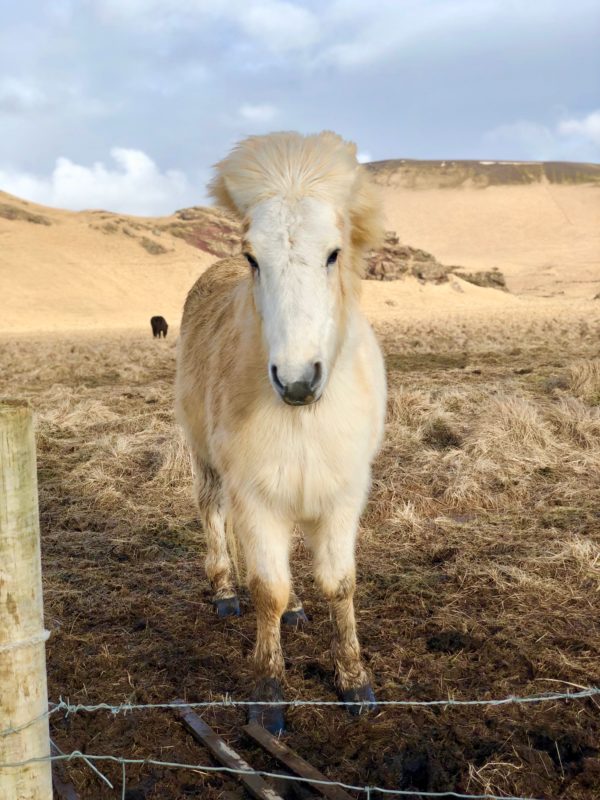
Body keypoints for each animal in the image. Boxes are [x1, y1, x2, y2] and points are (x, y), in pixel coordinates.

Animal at [176, 130, 386, 732]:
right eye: (253, 258)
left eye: (333, 253)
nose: (296, 379)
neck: (302, 417)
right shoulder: (255, 493)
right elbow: (267, 588)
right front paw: (268, 691)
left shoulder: (339, 494)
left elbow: (338, 584)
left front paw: (353, 680)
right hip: (207, 460)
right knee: (213, 514)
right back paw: (225, 590)